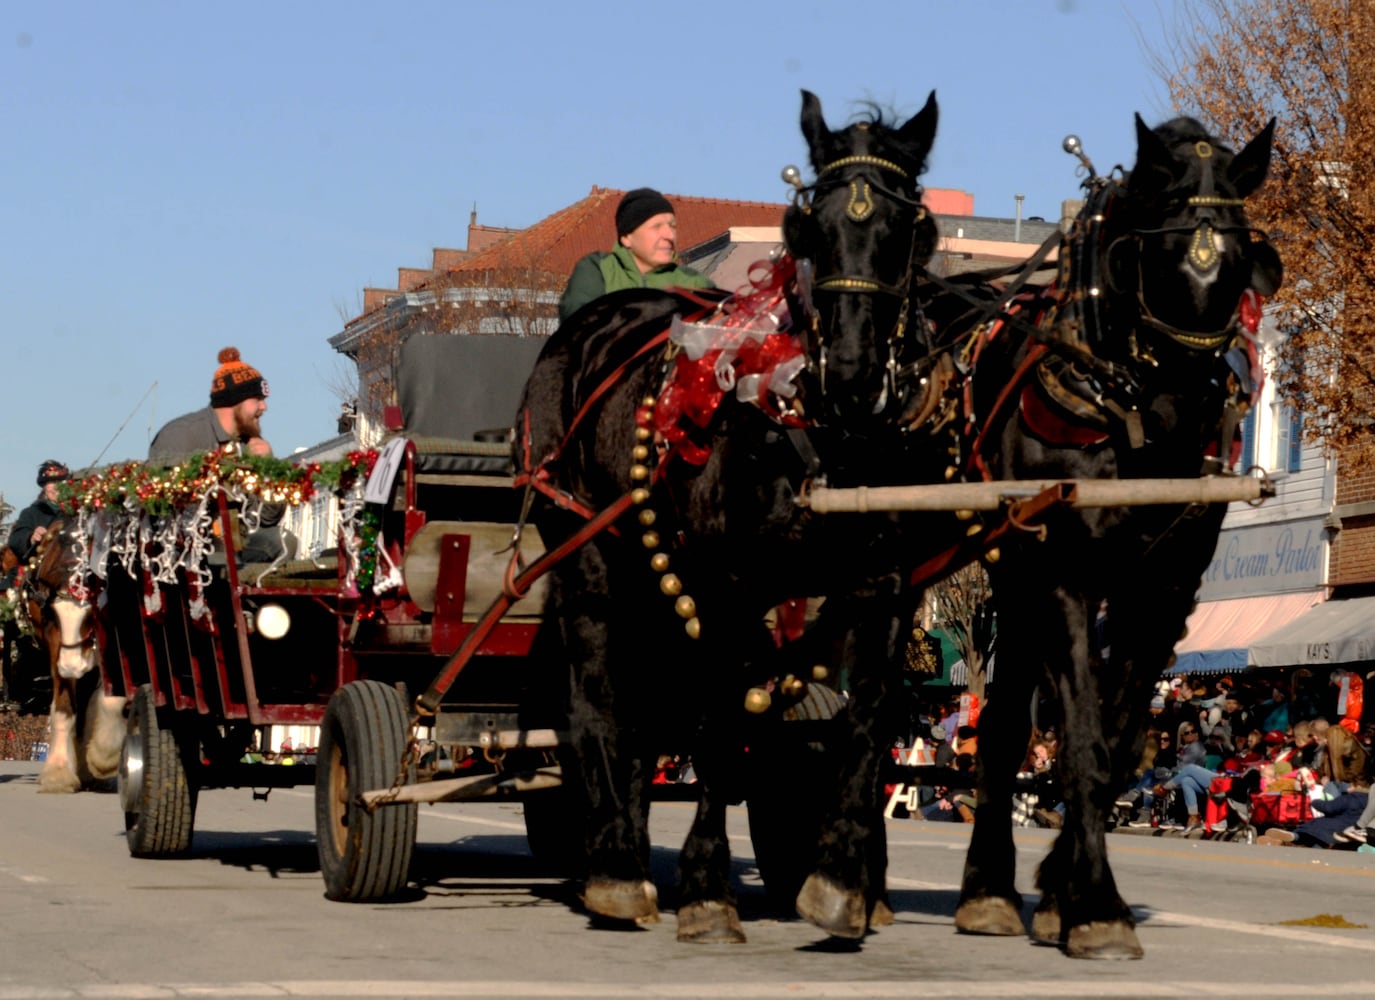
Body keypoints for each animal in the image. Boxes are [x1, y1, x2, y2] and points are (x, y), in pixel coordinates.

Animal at [26, 519, 124, 792]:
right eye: (53, 616)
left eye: (92, 615)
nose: (71, 666)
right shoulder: (55, 645)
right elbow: (64, 709)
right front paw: (58, 772)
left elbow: (111, 699)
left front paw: (103, 758)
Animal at [519, 90, 940, 940]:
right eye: (810, 225)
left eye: (907, 224)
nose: (851, 370)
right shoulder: (729, 585)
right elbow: (718, 725)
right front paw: (709, 887)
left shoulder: (881, 588)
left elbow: (862, 725)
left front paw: (840, 879)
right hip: (586, 553)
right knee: (595, 699)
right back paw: (613, 867)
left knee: (642, 711)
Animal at [940, 113, 1281, 957]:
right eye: (1154, 256)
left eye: (1238, 262)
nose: (1184, 418)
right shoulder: (1064, 575)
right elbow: (1082, 742)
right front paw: (1094, 903)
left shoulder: (1163, 586)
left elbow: (1120, 744)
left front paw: (1064, 890)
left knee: (1004, 722)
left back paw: (991, 888)